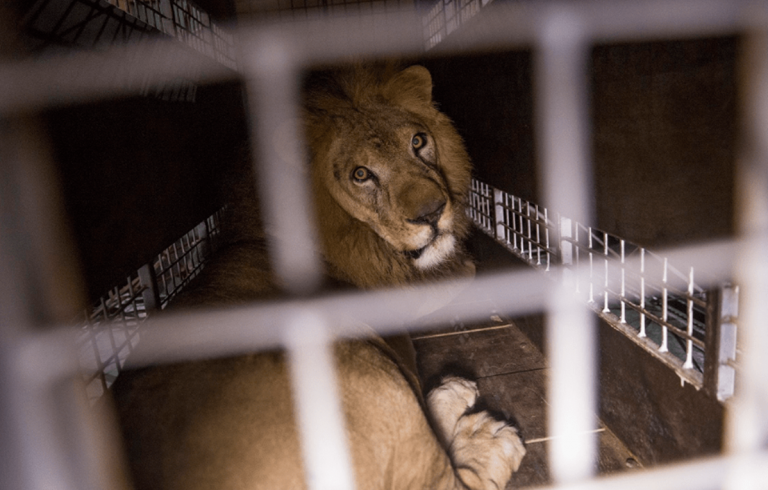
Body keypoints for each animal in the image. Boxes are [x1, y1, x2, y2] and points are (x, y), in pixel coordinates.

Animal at [109, 66, 528, 490]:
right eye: (361, 174)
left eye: (418, 141)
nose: (432, 213)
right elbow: (462, 273)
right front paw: (466, 261)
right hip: (370, 376)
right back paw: (487, 434)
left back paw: (452, 390)